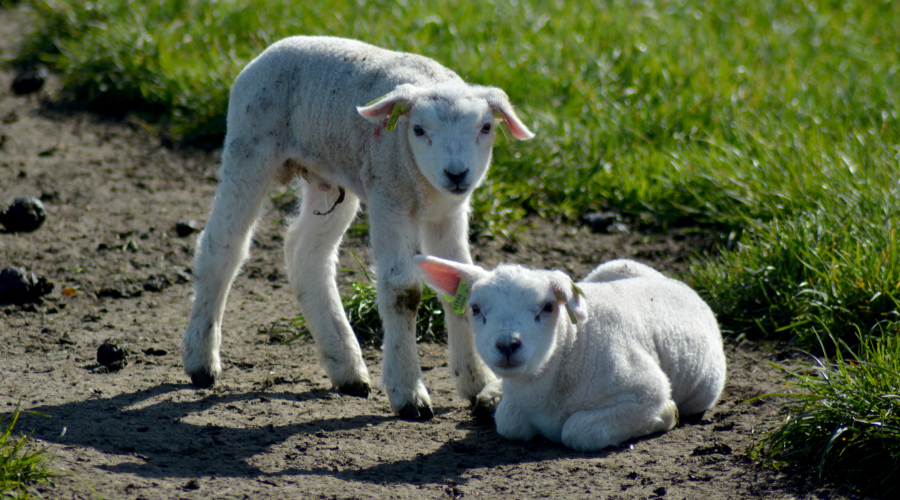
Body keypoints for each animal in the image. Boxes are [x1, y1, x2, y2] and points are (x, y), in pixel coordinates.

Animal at [181, 34, 536, 418]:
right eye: (419, 130)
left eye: (486, 128)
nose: (456, 174)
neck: (424, 186)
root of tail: (276, 45)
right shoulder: (389, 201)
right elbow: (402, 292)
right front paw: (409, 392)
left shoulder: (449, 212)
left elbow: (460, 284)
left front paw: (480, 385)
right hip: (250, 146)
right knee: (223, 246)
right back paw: (201, 359)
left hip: (329, 177)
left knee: (307, 255)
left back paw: (346, 366)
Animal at [414, 256, 724, 452]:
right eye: (476, 309)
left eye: (547, 307)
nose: (508, 345)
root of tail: (673, 281)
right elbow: (510, 421)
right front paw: (498, 400)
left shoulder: (647, 391)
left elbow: (577, 430)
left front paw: (668, 413)